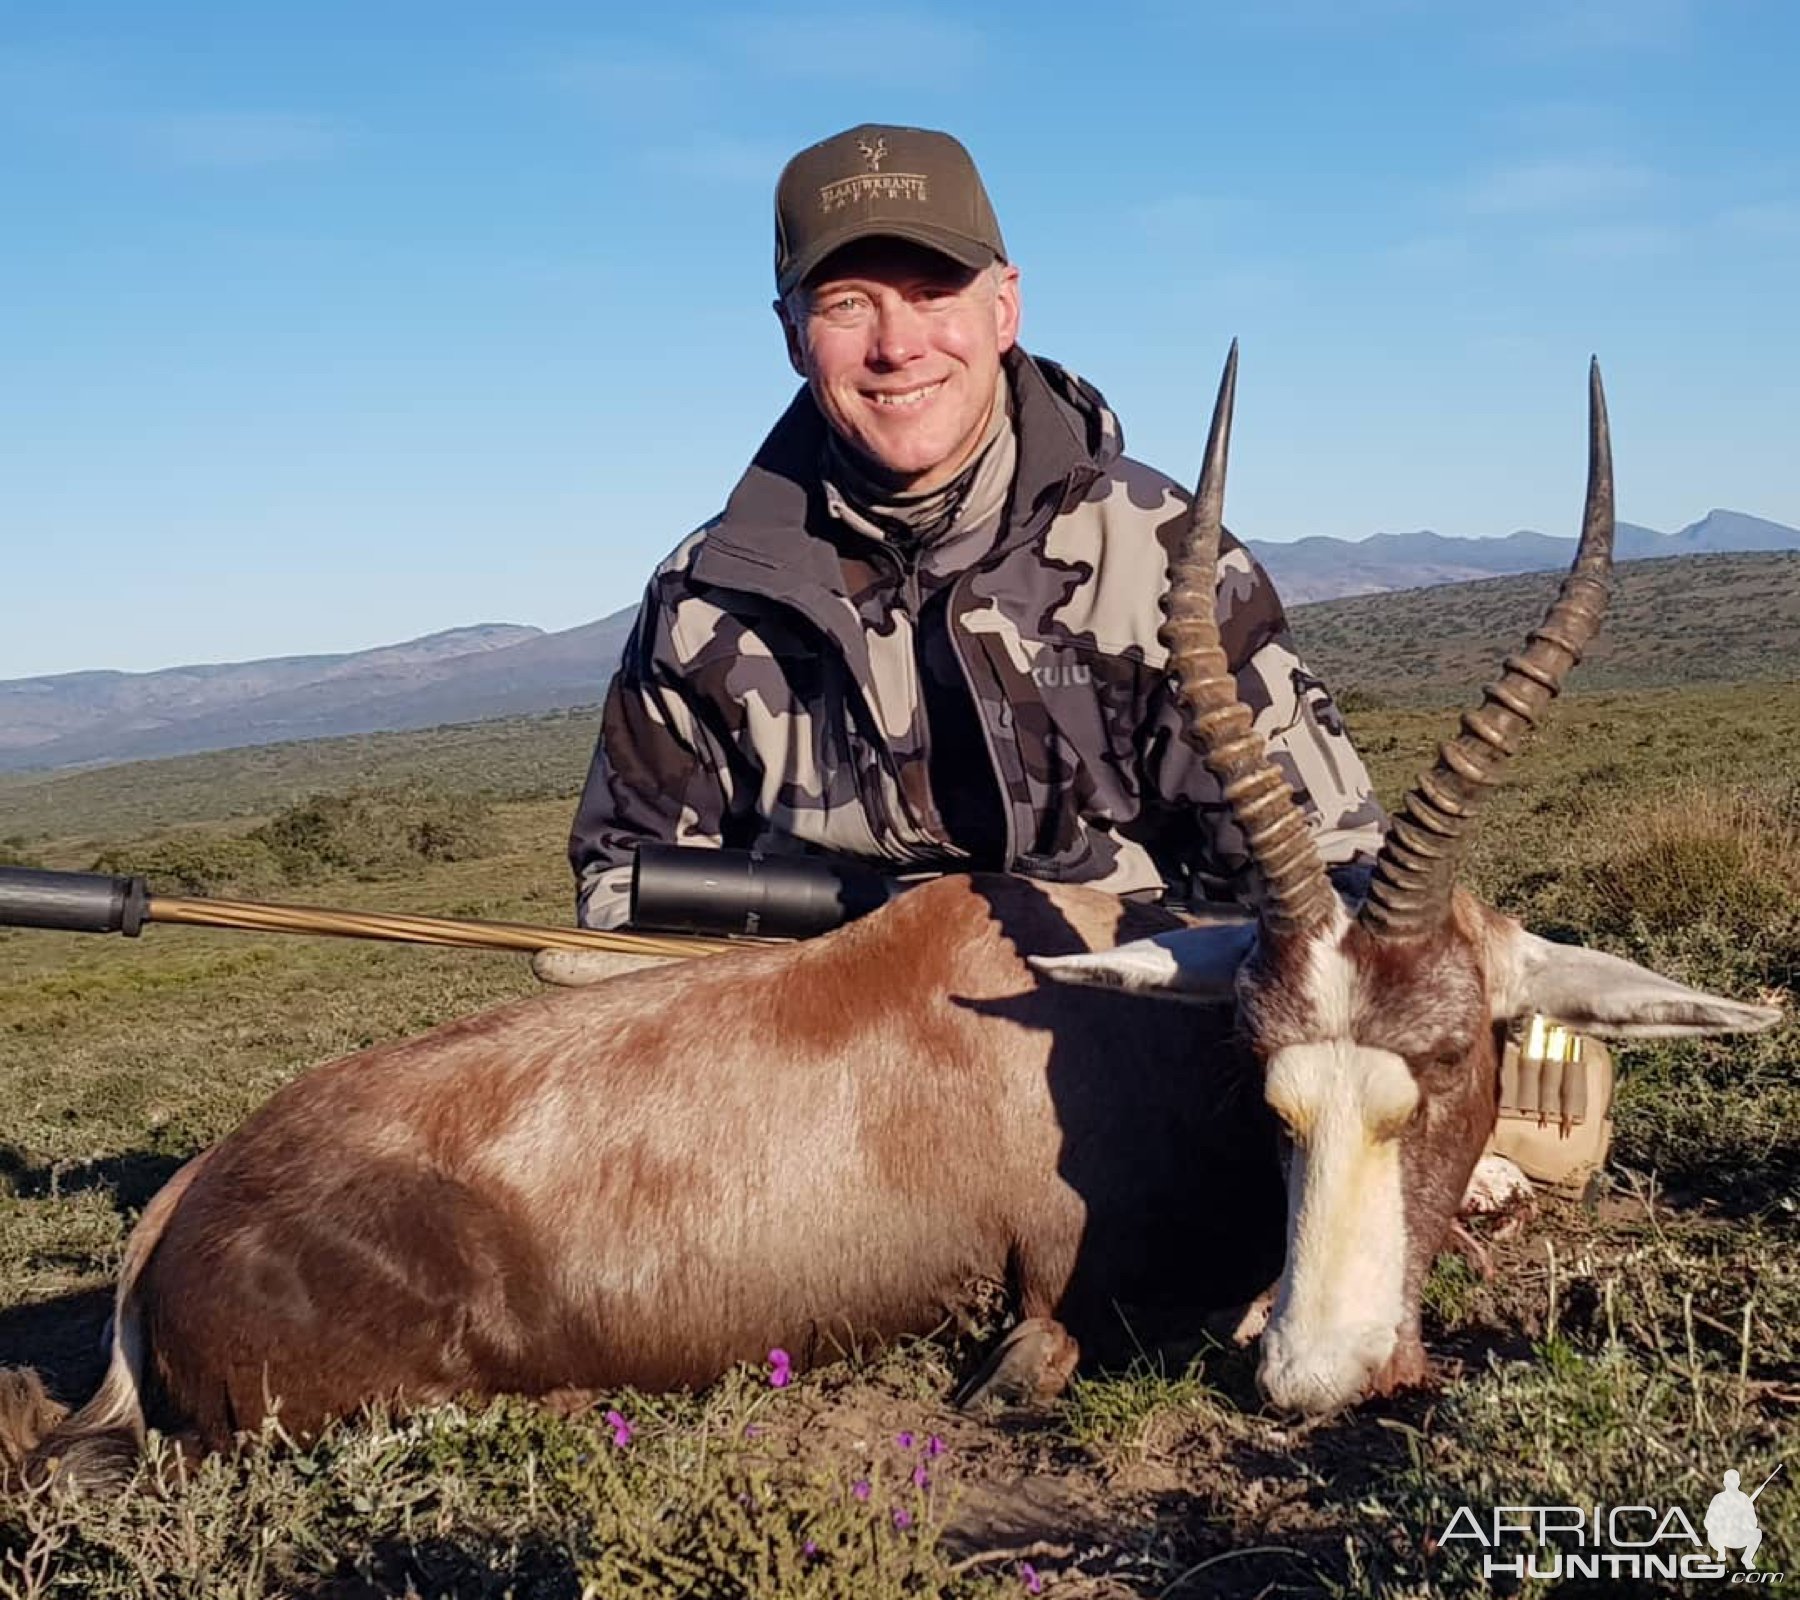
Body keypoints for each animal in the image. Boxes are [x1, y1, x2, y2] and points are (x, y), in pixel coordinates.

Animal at [0, 356, 1778, 1490]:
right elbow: (1042, 1354)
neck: (1078, 1009)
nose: (1317, 1377)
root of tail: (179, 1218)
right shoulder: (1064, 1296)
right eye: (1264, 1076)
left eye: (1454, 1055)